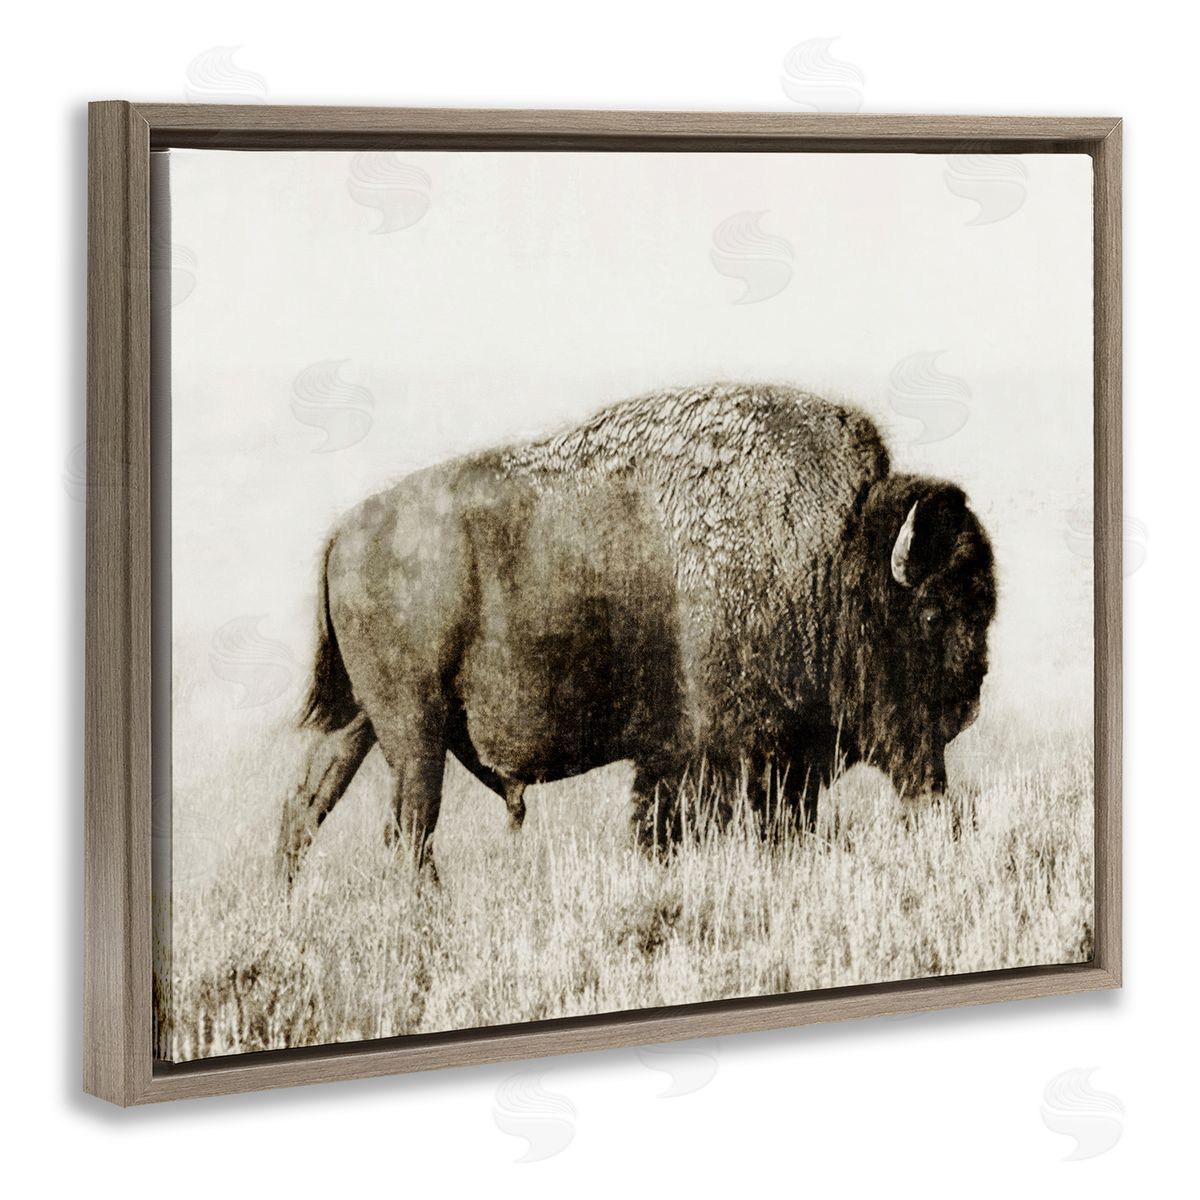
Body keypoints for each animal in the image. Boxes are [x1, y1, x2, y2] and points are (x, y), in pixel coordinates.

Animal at [278, 382, 996, 882]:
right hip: (413, 729)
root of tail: (342, 534)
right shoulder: (728, 759)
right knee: (408, 829)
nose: (966, 705)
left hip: (362, 723)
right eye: (932, 614)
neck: (833, 553)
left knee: (306, 808)